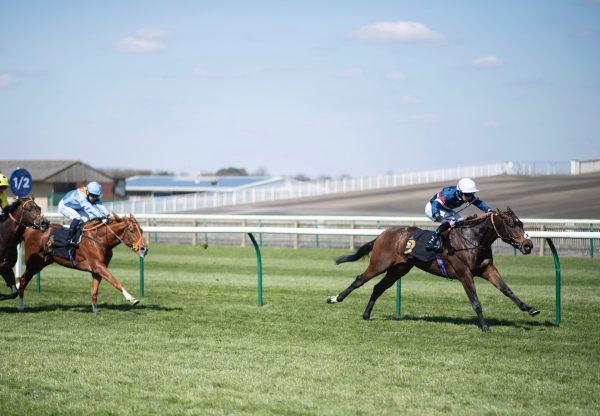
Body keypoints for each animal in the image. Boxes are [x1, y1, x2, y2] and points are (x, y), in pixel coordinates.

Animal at [17, 213, 148, 314]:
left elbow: (94, 290)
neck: (100, 239)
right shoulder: (98, 266)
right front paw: (132, 299)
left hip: (42, 263)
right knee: (22, 280)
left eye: (141, 230)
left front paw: (95, 310)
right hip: (33, 263)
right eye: (132, 230)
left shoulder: (97, 270)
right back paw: (20, 306)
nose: (144, 249)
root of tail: (29, 230)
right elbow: (115, 281)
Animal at [328, 208, 540, 332]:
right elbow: (475, 302)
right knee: (359, 280)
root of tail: (382, 234)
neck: (472, 240)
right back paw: (335, 298)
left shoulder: (487, 269)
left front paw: (530, 309)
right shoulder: (464, 273)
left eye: (522, 223)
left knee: (378, 287)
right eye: (511, 224)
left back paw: (366, 314)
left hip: (399, 268)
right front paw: (485, 327)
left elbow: (507, 290)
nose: (528, 246)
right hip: (380, 264)